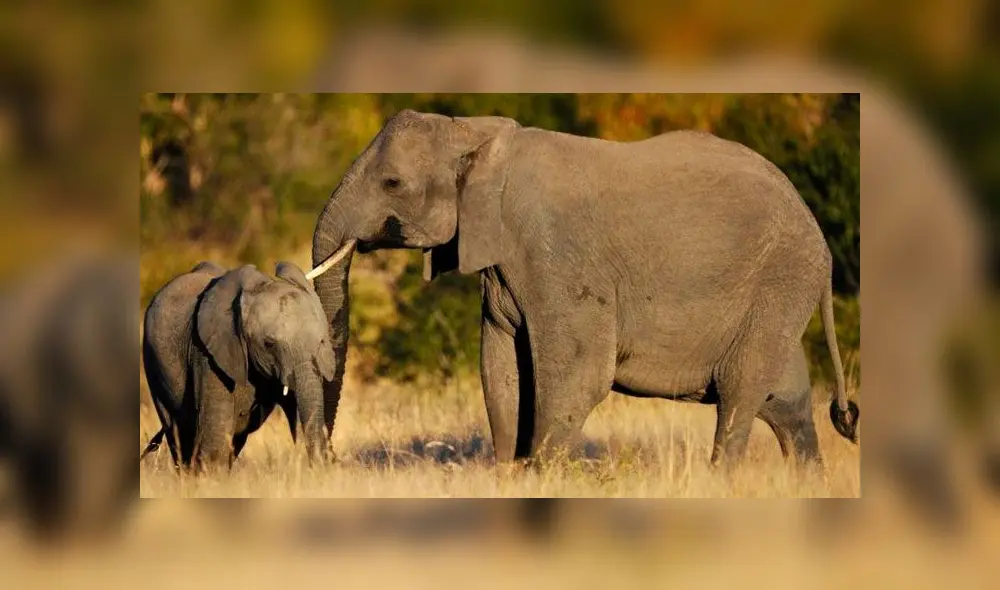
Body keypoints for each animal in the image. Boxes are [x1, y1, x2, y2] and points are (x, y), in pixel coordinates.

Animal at [140, 260, 338, 469]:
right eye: (269, 344)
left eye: (321, 342)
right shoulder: (207, 352)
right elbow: (216, 435)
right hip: (153, 364)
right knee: (177, 431)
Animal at [311, 109, 859, 470]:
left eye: (391, 184)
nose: (328, 458)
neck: (474, 132)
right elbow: (501, 368)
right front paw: (508, 474)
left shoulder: (558, 255)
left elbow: (578, 373)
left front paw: (541, 477)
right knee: (784, 399)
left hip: (780, 278)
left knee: (741, 392)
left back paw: (721, 480)